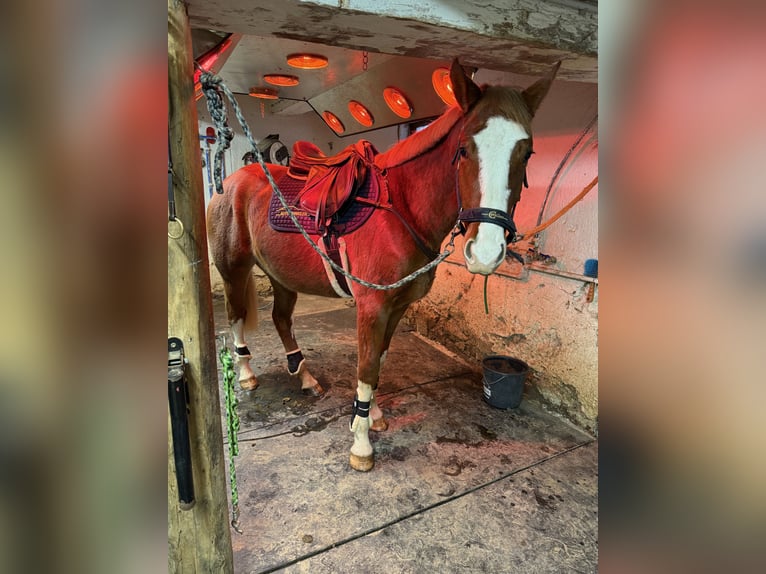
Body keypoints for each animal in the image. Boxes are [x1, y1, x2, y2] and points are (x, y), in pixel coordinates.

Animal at [207, 59, 559, 471]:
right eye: (463, 150)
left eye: (527, 152)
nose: (486, 253)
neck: (401, 210)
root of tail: (234, 180)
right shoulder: (372, 307)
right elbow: (366, 367)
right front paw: (361, 444)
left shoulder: (398, 306)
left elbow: (379, 361)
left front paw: (372, 416)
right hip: (233, 269)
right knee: (235, 317)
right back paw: (246, 374)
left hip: (282, 275)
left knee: (280, 319)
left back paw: (305, 377)